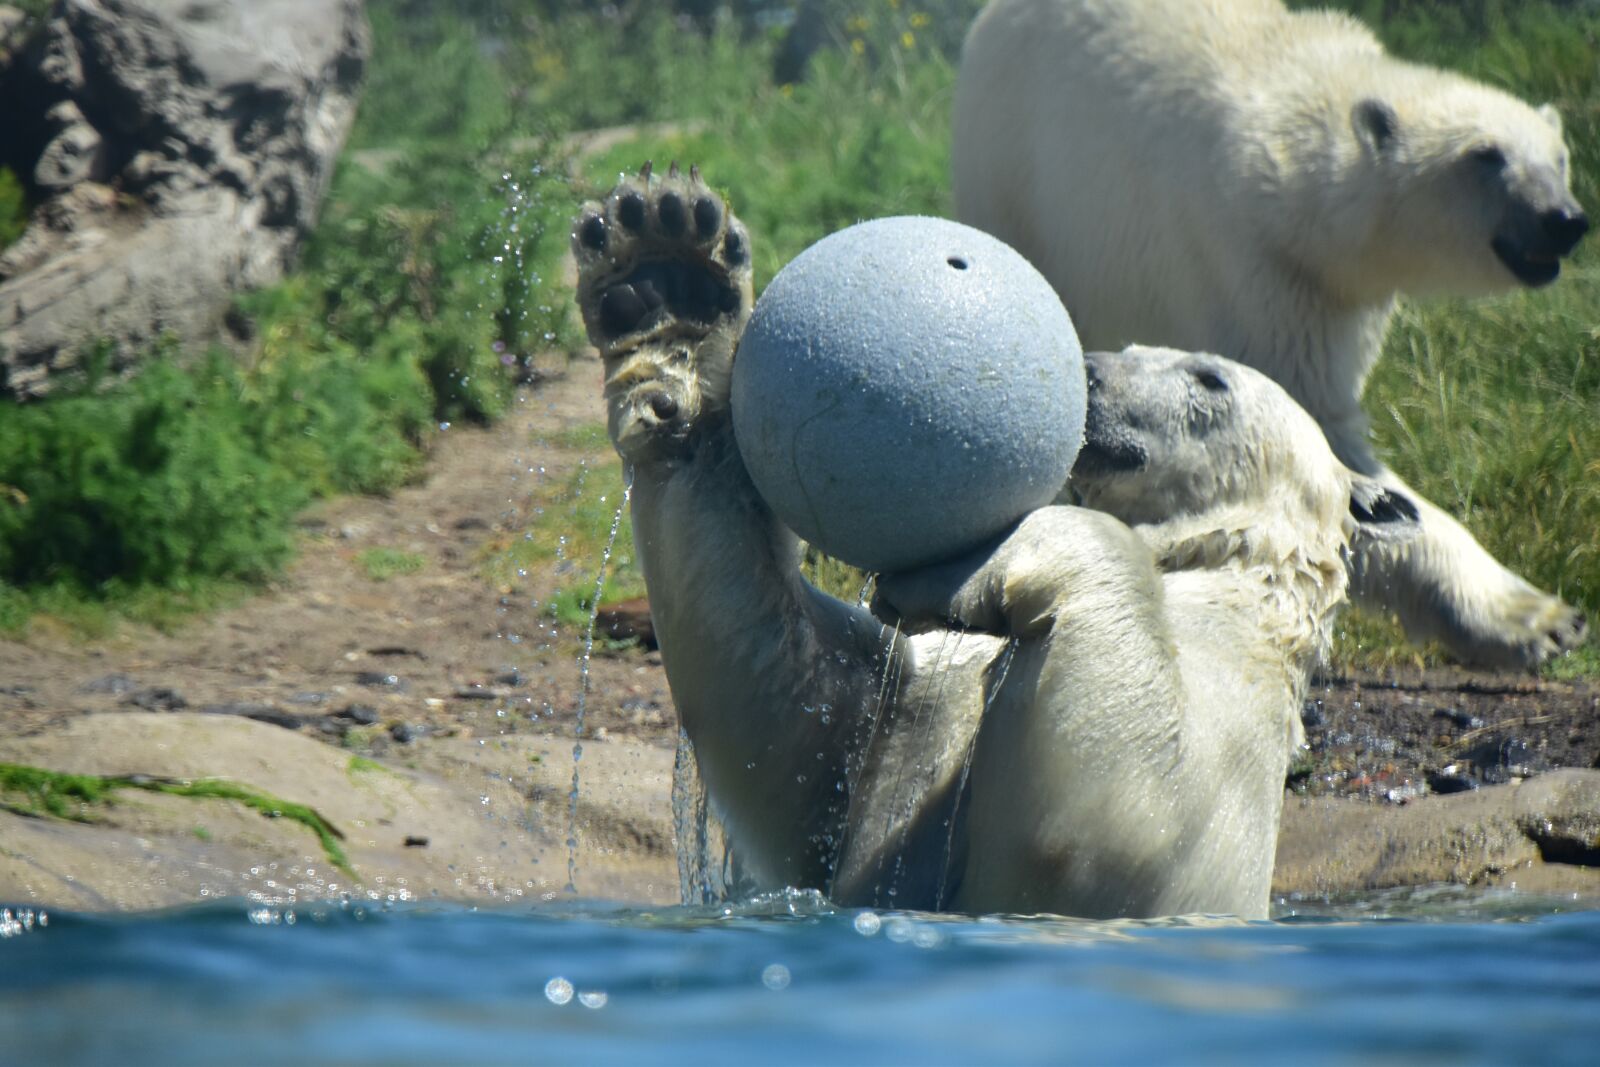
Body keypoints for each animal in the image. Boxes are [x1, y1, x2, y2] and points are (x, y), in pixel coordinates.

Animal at [572, 167, 1418, 919]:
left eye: (1211, 378)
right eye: (1131, 348)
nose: (1089, 372)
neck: (1225, 578)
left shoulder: (1224, 763)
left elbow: (1118, 820)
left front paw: (961, 573)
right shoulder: (918, 714)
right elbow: (796, 717)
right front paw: (669, 278)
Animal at [952, 0, 1589, 670]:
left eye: (1559, 158)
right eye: (1486, 156)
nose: (1564, 219)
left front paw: (1546, 616)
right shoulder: (1258, 270)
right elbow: (1320, 442)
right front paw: (1535, 621)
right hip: (1015, 180)